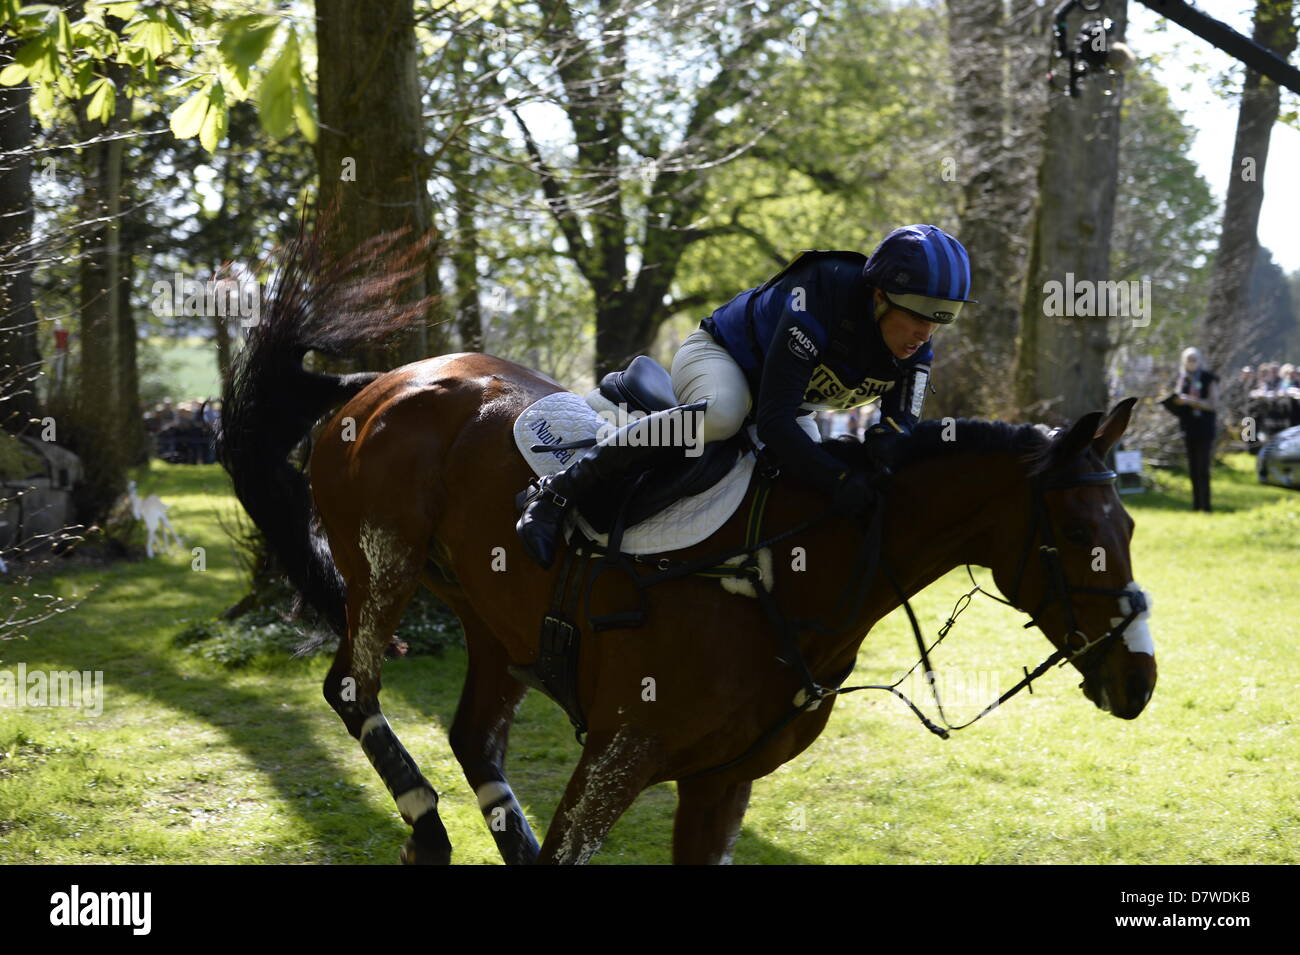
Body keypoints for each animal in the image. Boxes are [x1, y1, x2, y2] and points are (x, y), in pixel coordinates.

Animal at [215, 226, 1159, 867]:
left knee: (475, 735)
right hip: (385, 565)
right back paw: (429, 820)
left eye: (1129, 528)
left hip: (493, 619)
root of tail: (383, 380)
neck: (792, 576)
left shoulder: (720, 783)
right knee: (351, 685)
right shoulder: (619, 756)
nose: (1140, 680)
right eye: (1080, 531)